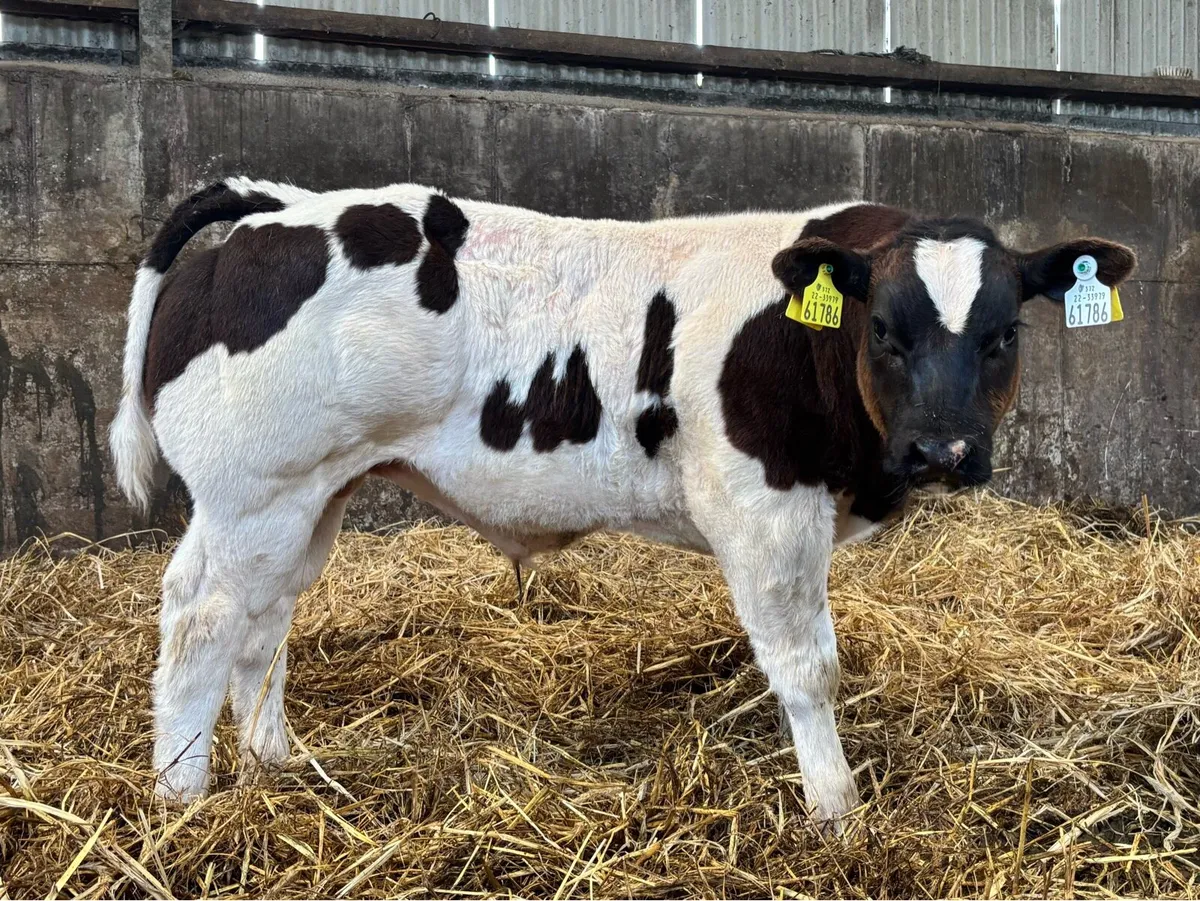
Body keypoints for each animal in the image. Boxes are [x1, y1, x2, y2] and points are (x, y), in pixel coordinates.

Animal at [110, 177, 1136, 828]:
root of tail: (275, 211)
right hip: (258, 492)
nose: (943, 449)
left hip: (306, 498)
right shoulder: (763, 509)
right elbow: (808, 669)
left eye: (1004, 334)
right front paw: (837, 812)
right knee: (201, 621)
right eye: (883, 327)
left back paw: (274, 763)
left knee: (260, 621)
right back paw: (181, 797)